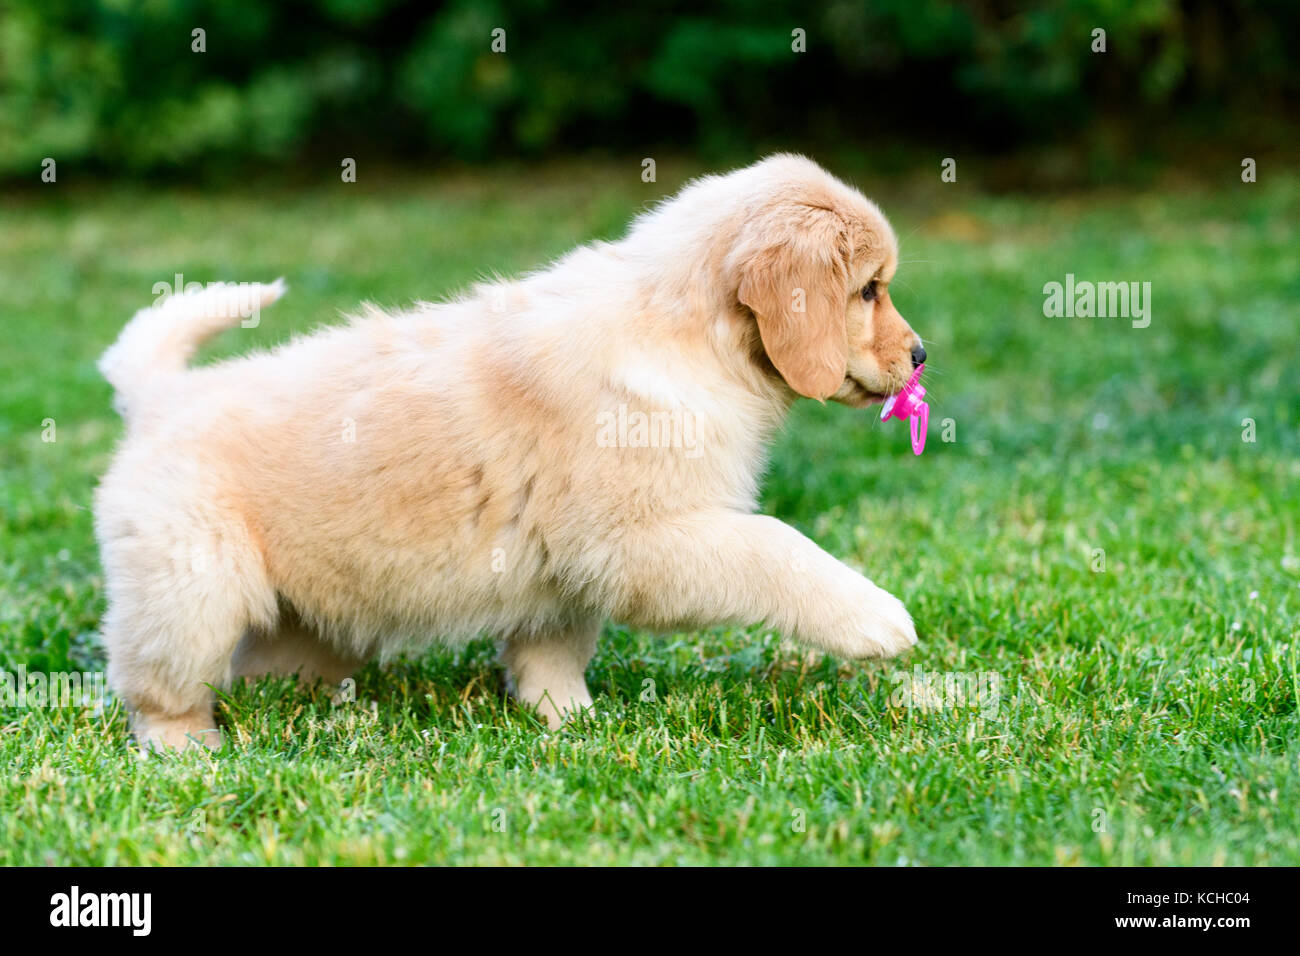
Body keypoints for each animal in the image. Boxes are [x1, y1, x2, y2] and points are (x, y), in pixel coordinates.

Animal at [94, 155, 925, 749]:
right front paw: (875, 617)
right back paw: (189, 750)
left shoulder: (568, 568)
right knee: (156, 684)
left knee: (268, 670)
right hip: (191, 588)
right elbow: (775, 547)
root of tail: (160, 396)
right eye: (869, 289)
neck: (690, 337)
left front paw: (570, 720)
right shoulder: (642, 539)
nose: (920, 356)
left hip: (301, 617)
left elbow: (550, 652)